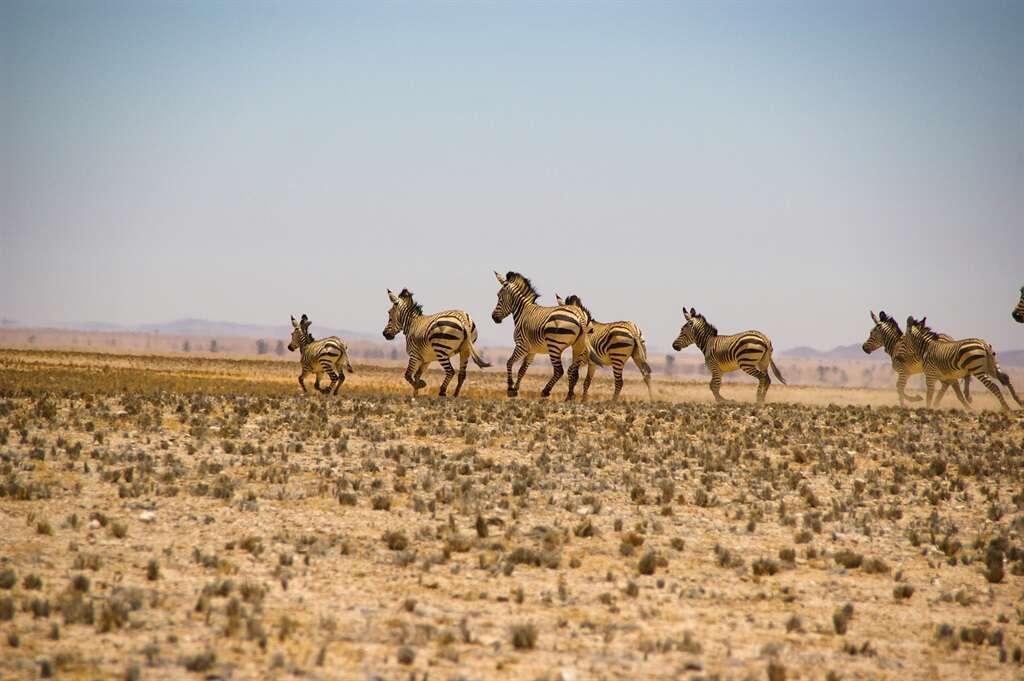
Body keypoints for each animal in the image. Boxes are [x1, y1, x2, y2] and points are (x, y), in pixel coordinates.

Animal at [489, 270, 598, 399]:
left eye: (499, 296)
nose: (494, 317)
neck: (523, 311)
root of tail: (579, 314)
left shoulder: (521, 345)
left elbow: (509, 362)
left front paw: (510, 388)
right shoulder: (532, 350)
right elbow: (522, 369)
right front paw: (515, 389)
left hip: (554, 345)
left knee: (559, 370)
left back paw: (546, 391)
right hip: (578, 347)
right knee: (573, 371)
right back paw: (569, 396)